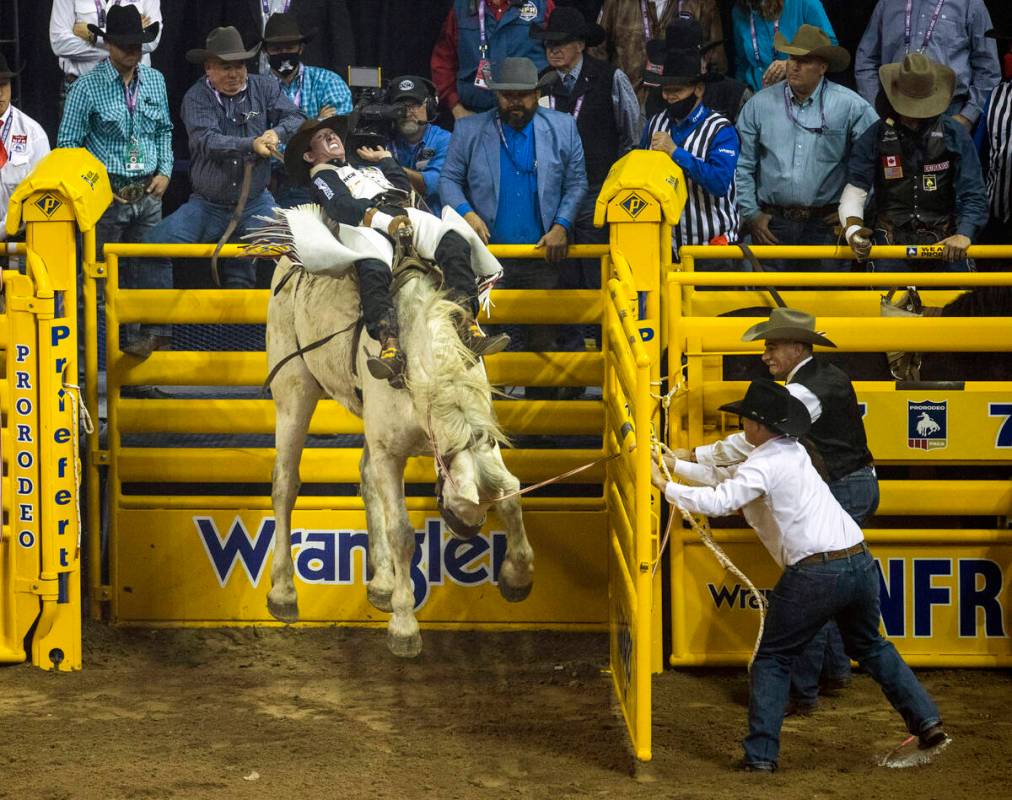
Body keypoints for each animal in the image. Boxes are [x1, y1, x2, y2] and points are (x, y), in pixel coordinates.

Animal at [261, 206, 534, 655]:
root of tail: (289, 256)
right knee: (285, 482)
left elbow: (510, 492)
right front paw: (405, 626)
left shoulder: (475, 436)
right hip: (293, 388)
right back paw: (283, 593)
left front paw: (516, 576)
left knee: (365, 477)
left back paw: (383, 583)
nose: (466, 529)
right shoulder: (391, 451)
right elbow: (402, 532)